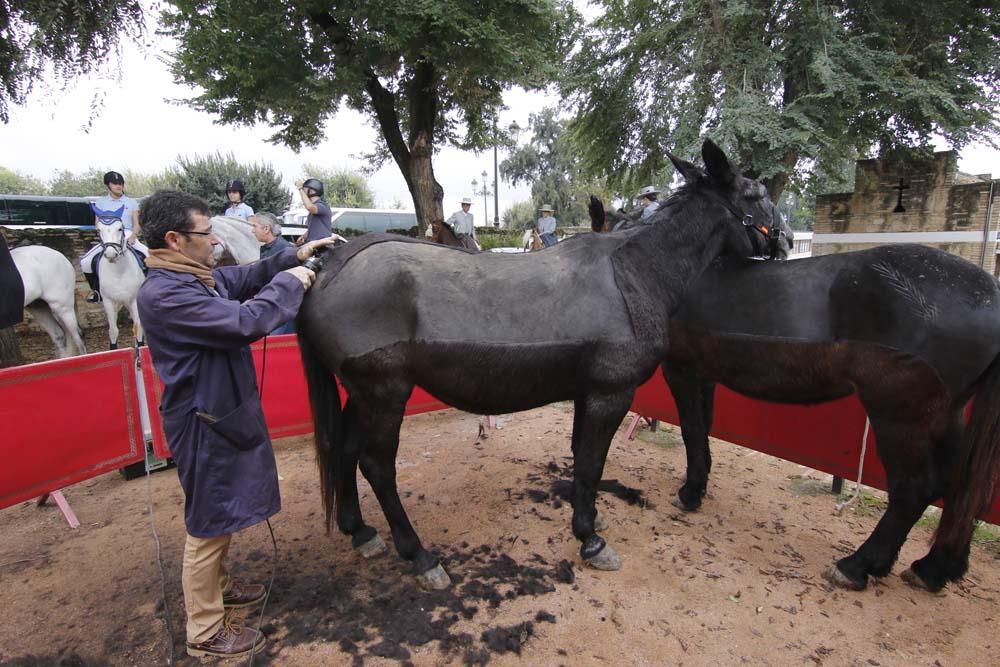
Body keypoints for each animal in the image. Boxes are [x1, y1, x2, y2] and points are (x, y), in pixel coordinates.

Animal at [296, 138, 772, 588]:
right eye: (758, 194)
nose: (781, 239)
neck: (633, 274)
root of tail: (328, 269)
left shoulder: (587, 393)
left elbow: (581, 457)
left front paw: (588, 521)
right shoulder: (611, 394)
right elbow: (592, 462)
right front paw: (591, 540)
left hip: (362, 394)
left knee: (345, 450)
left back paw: (360, 532)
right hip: (384, 394)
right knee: (377, 467)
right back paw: (419, 556)